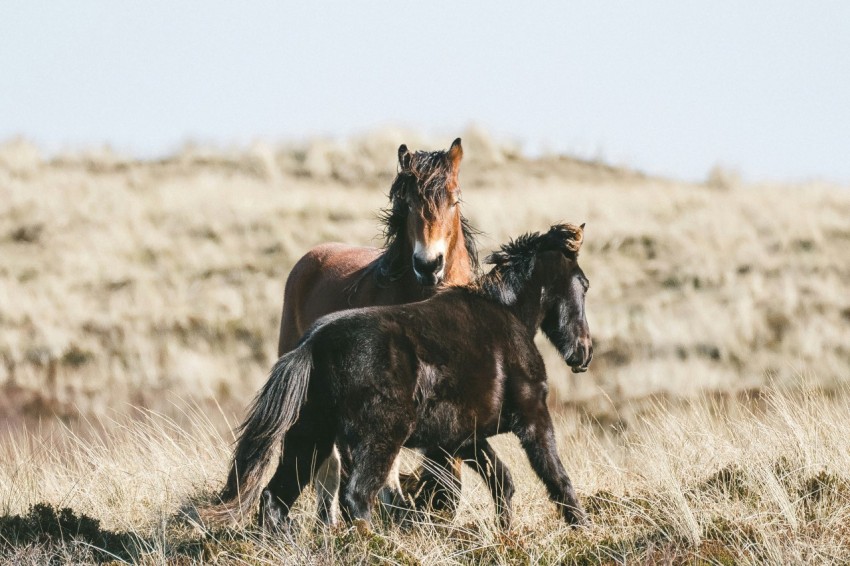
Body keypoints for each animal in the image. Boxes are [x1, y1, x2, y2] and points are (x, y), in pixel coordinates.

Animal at [205, 225, 588, 532]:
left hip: (311, 437)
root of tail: (314, 345)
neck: (507, 315)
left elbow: (502, 482)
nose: (583, 352)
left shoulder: (462, 438)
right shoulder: (533, 418)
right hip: (379, 439)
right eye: (583, 284)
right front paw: (580, 527)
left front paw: (505, 532)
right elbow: (557, 478)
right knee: (355, 497)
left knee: (275, 498)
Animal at [276, 138, 476, 524]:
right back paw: (331, 523)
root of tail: (311, 258)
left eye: (455, 199)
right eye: (408, 204)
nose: (428, 265)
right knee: (330, 465)